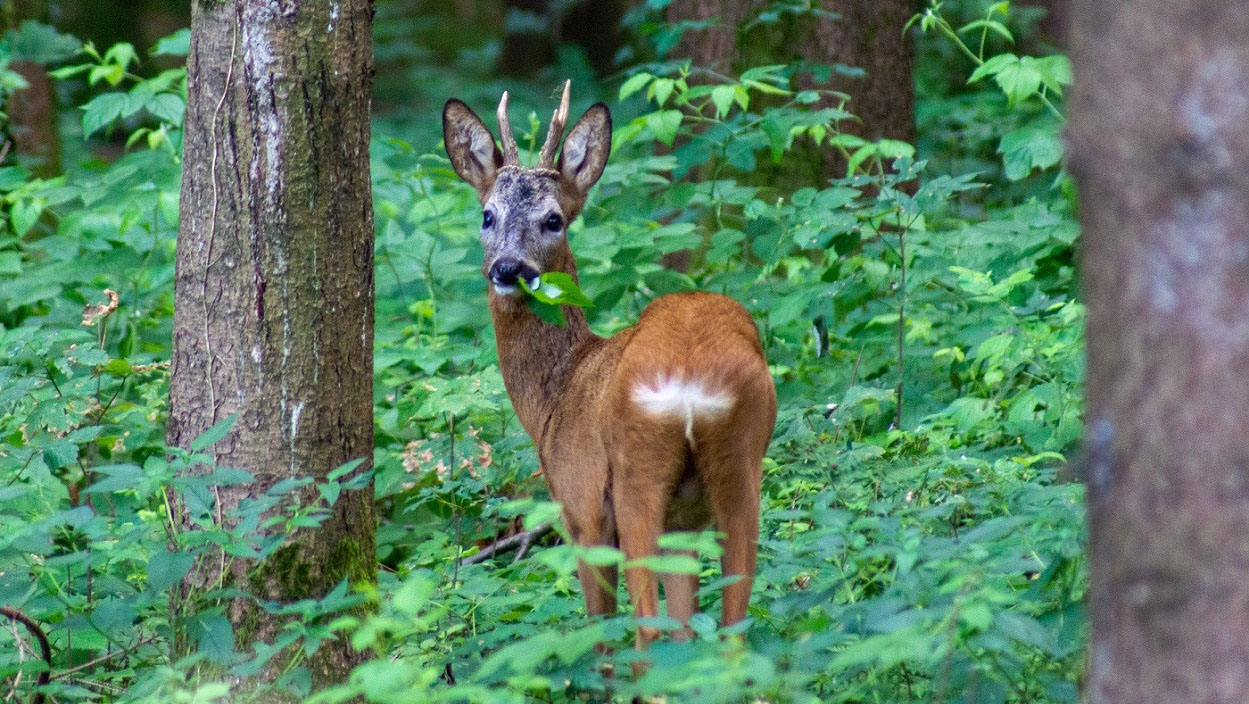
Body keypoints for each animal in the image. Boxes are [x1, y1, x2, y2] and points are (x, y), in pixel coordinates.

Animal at [439, 81, 769, 649]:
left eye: (553, 219)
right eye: (488, 215)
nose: (508, 268)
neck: (558, 391)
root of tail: (691, 379)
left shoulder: (581, 505)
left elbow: (600, 629)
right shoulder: (684, 520)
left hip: (638, 474)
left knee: (647, 632)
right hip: (742, 461)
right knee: (731, 630)